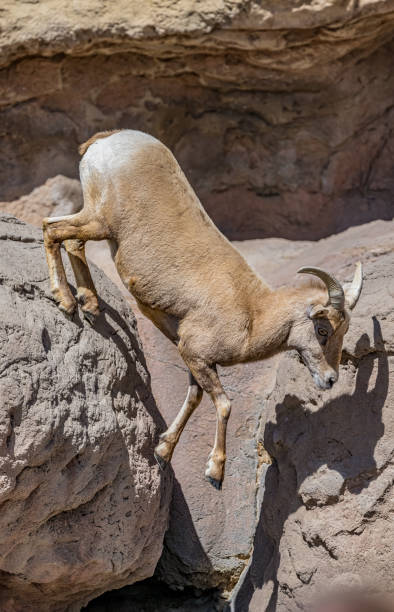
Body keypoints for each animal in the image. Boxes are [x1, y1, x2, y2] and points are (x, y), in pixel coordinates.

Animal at [43, 129, 364, 488]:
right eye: (322, 330)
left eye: (344, 331)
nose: (331, 379)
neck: (251, 313)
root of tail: (109, 140)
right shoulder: (196, 354)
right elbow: (223, 404)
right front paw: (214, 472)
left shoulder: (195, 361)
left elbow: (194, 398)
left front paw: (163, 452)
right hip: (100, 221)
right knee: (53, 229)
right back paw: (66, 300)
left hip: (92, 218)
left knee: (68, 237)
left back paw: (90, 304)